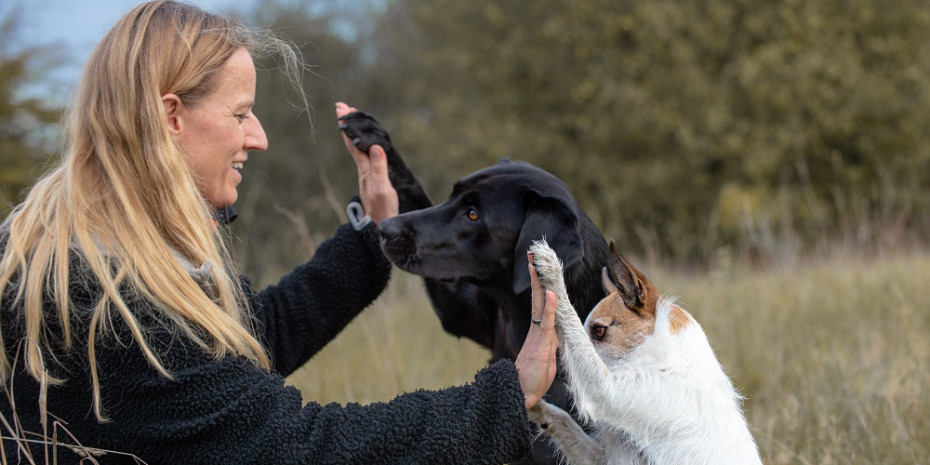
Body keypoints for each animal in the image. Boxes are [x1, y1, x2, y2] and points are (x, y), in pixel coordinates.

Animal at [336, 109, 608, 464]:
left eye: (473, 214)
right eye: (453, 196)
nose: (385, 229)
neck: (516, 319)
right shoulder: (466, 313)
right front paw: (372, 138)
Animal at [524, 241, 756, 462]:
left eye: (599, 331)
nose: (562, 374)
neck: (663, 359)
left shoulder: (606, 390)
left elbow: (570, 321)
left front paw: (552, 272)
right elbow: (562, 418)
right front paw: (531, 405)